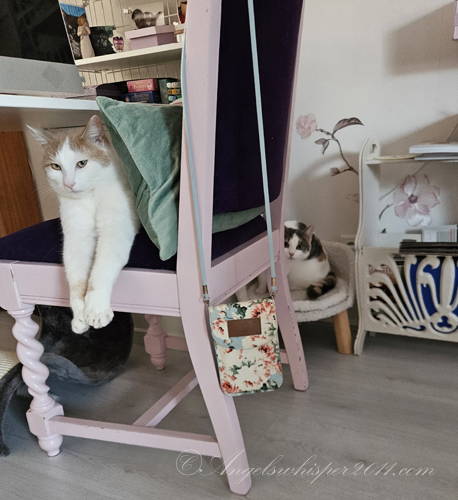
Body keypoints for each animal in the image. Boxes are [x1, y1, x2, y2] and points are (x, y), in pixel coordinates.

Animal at [28, 116, 140, 334]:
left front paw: (96, 308)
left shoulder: (115, 229)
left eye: (82, 163)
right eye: (56, 167)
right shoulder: (76, 237)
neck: (90, 196)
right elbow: (77, 279)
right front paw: (80, 314)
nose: (69, 184)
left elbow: (101, 268)